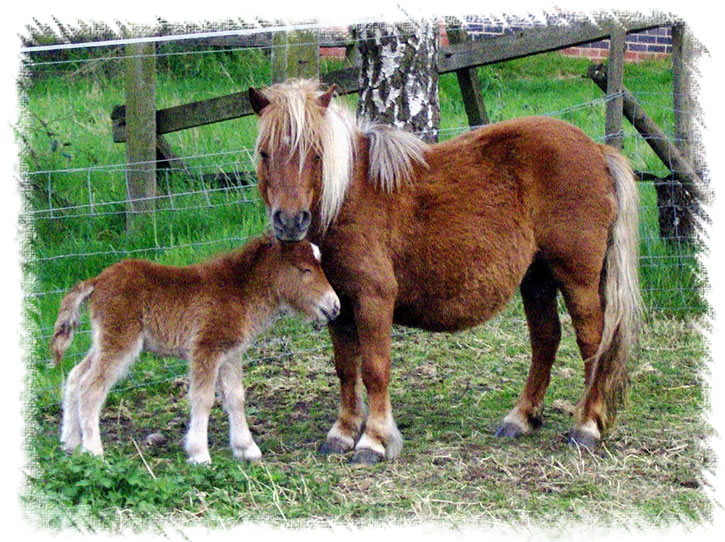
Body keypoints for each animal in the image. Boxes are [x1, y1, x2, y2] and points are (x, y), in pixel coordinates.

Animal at [51, 234, 340, 464]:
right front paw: (200, 454)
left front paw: (246, 448)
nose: (335, 306)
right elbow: (203, 398)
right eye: (305, 270)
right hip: (121, 340)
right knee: (91, 387)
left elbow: (236, 397)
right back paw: (93, 451)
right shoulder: (206, 348)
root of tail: (98, 280)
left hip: (105, 339)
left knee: (75, 376)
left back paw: (70, 443)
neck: (240, 290)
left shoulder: (231, 354)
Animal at [248, 78, 641, 464]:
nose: (290, 221)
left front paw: (373, 440)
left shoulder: (372, 299)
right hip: (536, 278)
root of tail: (597, 151)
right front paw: (342, 433)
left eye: (316, 154)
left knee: (592, 341)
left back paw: (587, 425)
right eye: (264, 153)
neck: (348, 196)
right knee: (545, 339)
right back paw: (522, 418)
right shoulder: (339, 307)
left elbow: (374, 368)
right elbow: (346, 370)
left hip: (577, 278)